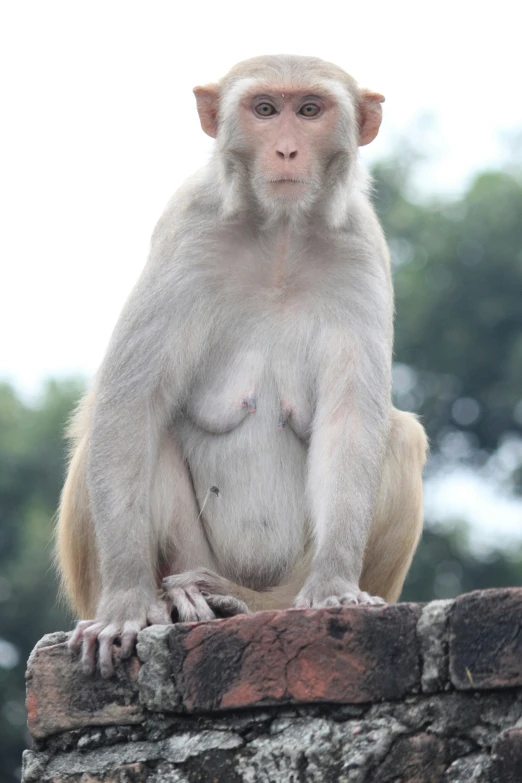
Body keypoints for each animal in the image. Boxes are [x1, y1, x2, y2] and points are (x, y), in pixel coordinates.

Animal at [58, 56, 426, 680]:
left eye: (310, 110)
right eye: (265, 109)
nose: (286, 150)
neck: (280, 232)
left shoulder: (360, 246)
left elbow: (351, 422)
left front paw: (334, 587)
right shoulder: (188, 228)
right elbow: (130, 404)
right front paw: (126, 603)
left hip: (282, 573)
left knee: (400, 435)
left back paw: (245, 602)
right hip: (186, 555)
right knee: (125, 428)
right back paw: (178, 600)